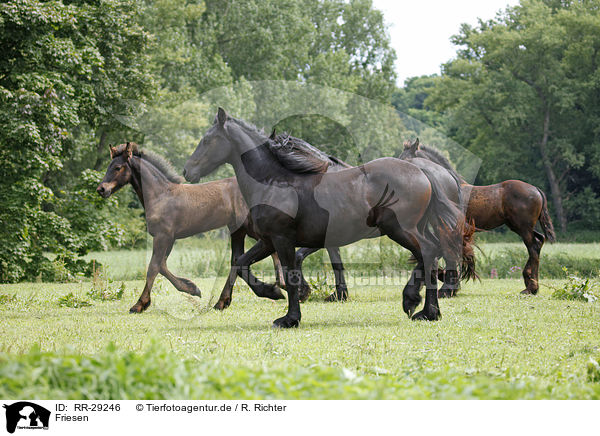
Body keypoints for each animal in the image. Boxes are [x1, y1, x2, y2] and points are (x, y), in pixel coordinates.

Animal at [400, 140, 556, 296]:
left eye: (407, 159)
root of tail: (537, 190)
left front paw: (448, 287)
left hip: (522, 227)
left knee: (533, 247)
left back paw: (531, 287)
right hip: (521, 227)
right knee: (539, 240)